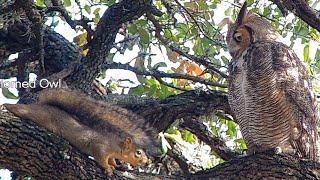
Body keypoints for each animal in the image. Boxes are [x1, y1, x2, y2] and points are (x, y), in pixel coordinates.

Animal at [3, 88, 160, 176]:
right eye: (138, 152)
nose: (146, 162)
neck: (114, 144)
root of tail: (41, 105)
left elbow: (110, 159)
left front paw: (115, 165)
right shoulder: (100, 146)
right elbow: (100, 157)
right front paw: (108, 168)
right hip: (38, 115)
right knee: (21, 109)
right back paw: (5, 106)